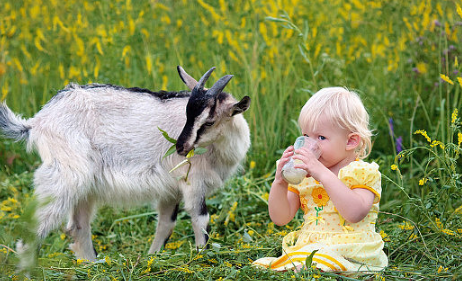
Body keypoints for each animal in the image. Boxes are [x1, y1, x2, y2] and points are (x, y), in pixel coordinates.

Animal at [0, 65, 251, 264]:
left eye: (209, 121)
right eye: (188, 115)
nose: (180, 147)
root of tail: (36, 122)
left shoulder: (170, 190)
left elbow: (166, 224)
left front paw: (152, 257)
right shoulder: (192, 181)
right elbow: (200, 219)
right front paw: (202, 256)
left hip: (83, 186)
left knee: (78, 227)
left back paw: (92, 266)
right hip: (64, 175)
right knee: (34, 230)